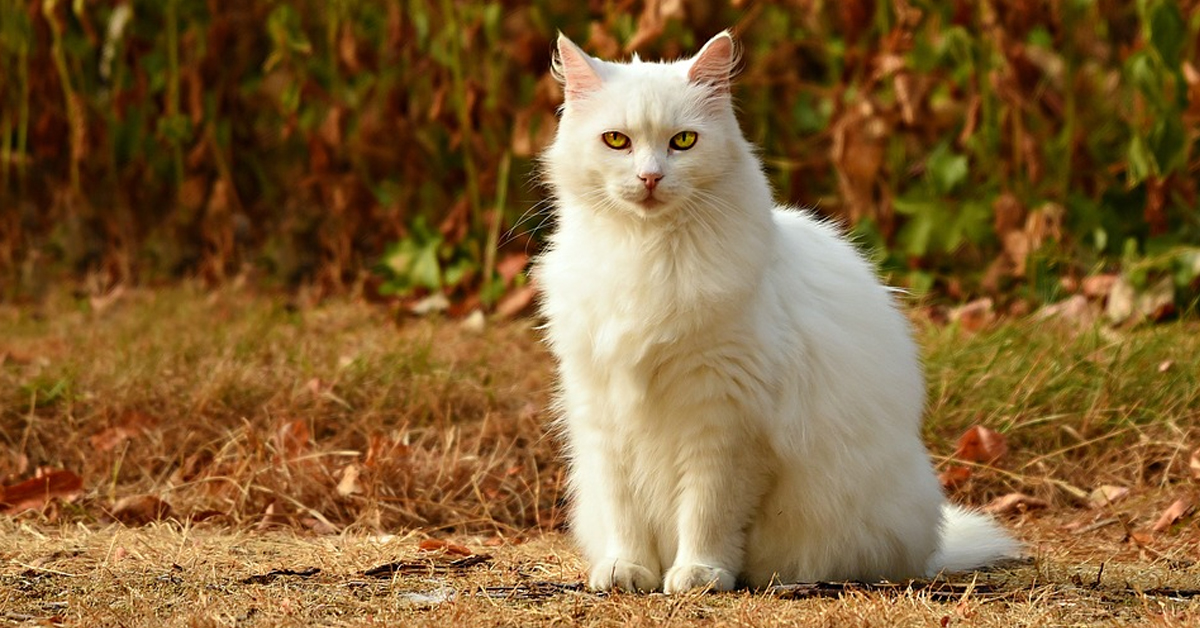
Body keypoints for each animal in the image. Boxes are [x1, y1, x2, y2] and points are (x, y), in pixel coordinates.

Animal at [537, 31, 1022, 595]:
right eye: (616, 141)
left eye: (683, 142)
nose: (650, 177)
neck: (644, 253)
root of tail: (930, 547)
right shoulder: (604, 409)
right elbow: (624, 510)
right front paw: (627, 570)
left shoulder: (725, 419)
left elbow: (706, 510)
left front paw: (699, 574)